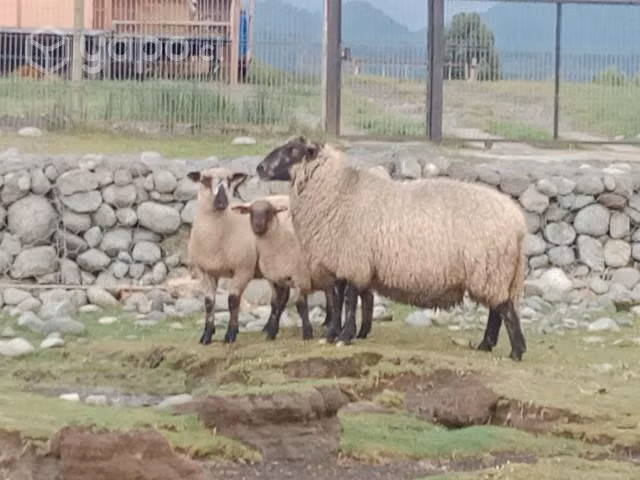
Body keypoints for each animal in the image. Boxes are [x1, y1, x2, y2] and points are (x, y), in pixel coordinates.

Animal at [186, 167, 293, 344]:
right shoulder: (204, 271)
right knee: (279, 297)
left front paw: (230, 334)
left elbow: (233, 301)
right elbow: (208, 303)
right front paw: (207, 335)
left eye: (230, 181)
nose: (222, 202)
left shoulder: (243, 270)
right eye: (205, 180)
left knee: (282, 297)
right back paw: (267, 328)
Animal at [231, 198, 375, 343]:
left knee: (350, 298)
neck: (279, 244)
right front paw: (271, 333)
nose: (258, 225)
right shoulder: (279, 281)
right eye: (251, 211)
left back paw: (346, 332)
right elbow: (276, 306)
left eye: (269, 211)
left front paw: (307, 333)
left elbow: (300, 305)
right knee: (363, 297)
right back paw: (360, 332)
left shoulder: (300, 277)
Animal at [255, 136, 528, 361]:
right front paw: (332, 334)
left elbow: (349, 299)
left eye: (292, 150)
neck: (340, 191)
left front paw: (344, 337)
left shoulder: (354, 260)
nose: (259, 168)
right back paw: (486, 345)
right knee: (498, 308)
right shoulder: (338, 261)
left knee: (504, 309)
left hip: (490, 269)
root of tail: (518, 221)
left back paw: (515, 351)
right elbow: (337, 299)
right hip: (496, 272)